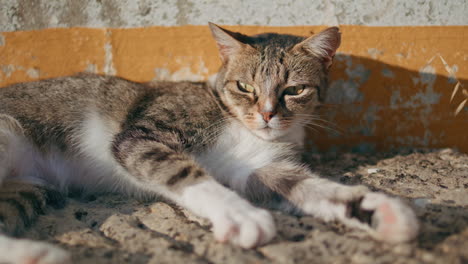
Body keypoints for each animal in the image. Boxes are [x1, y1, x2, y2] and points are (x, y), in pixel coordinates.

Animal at [0, 23, 416, 262]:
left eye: (294, 90)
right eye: (244, 86)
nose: (267, 114)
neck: (235, 121)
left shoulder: (259, 167)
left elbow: (310, 188)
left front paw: (379, 211)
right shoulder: (141, 135)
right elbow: (184, 172)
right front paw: (240, 215)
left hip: (24, 189)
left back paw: (33, 254)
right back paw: (42, 254)